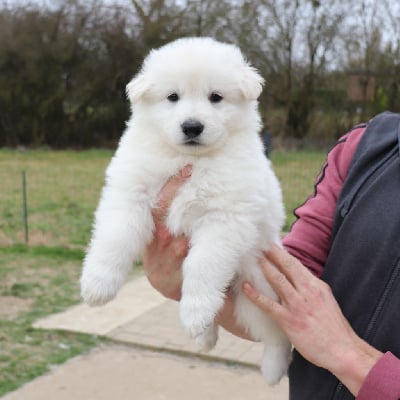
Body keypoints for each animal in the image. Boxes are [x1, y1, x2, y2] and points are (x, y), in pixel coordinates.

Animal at [81, 37, 292, 384]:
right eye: (172, 97)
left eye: (215, 97)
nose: (192, 126)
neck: (189, 160)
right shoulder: (130, 193)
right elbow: (115, 238)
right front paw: (97, 285)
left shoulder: (224, 219)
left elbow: (202, 264)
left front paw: (195, 312)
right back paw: (205, 336)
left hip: (257, 288)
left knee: (277, 333)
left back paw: (272, 368)